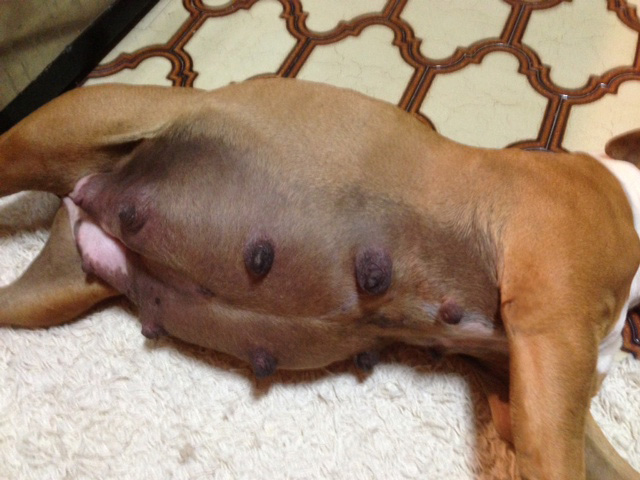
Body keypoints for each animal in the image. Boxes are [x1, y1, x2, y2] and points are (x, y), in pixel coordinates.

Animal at [0, 78, 638, 480]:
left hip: (48, 295)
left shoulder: (521, 387)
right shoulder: (552, 343)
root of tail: (84, 194)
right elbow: (559, 464)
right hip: (50, 137)